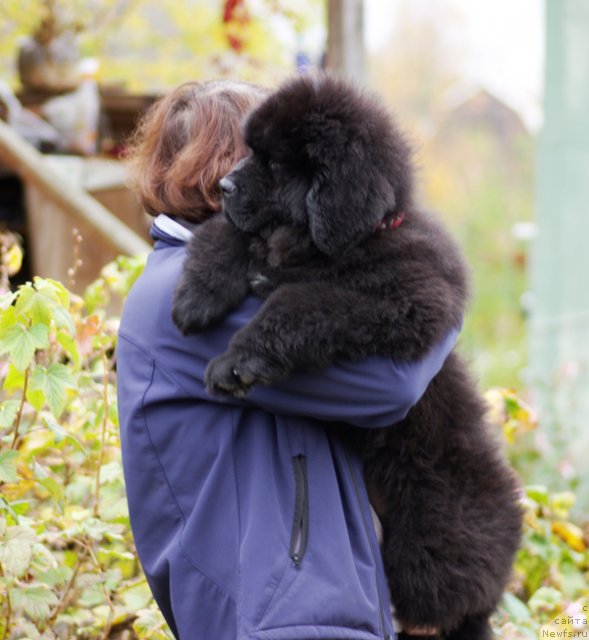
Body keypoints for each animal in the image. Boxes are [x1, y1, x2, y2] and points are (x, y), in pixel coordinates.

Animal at [170, 74, 520, 640]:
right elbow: (226, 235)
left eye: (274, 163)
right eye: (248, 152)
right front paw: (196, 296)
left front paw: (235, 361)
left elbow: (300, 301)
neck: (332, 243)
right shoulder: (259, 240)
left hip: (431, 538)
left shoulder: (398, 301)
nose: (222, 187)